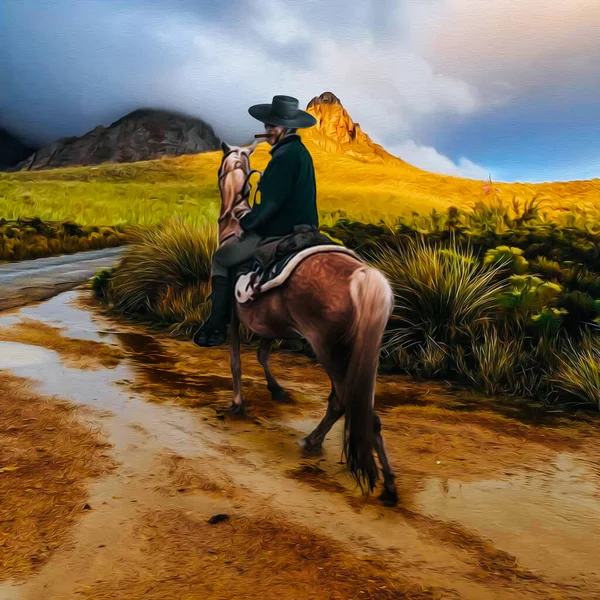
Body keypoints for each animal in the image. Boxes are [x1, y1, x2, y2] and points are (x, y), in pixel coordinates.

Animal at [216, 142, 398, 506]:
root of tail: (362, 274)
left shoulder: (232, 316)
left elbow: (236, 362)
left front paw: (238, 404)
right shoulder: (270, 324)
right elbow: (262, 355)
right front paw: (276, 390)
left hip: (330, 350)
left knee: (343, 401)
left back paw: (314, 442)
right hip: (364, 356)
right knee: (364, 411)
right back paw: (385, 480)